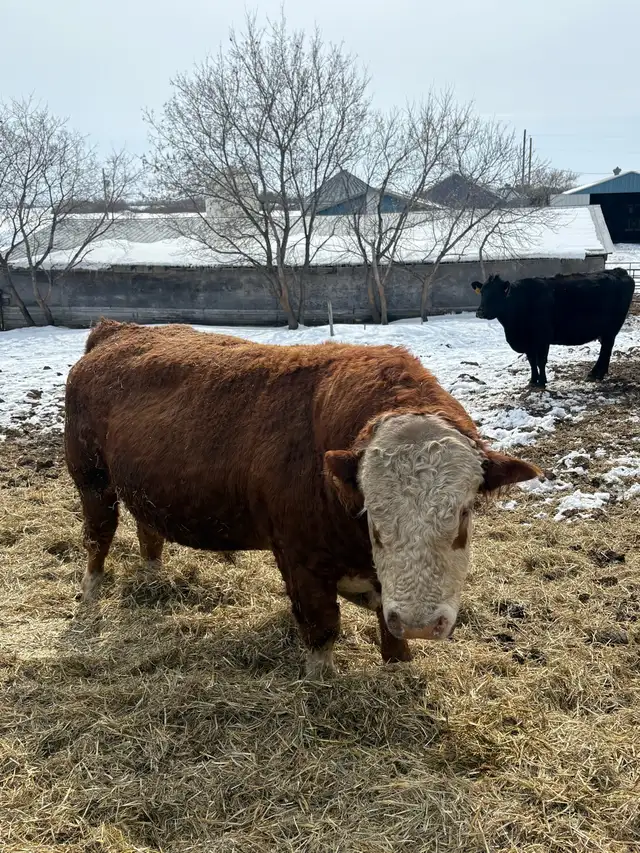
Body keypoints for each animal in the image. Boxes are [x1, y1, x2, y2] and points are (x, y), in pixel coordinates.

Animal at [65, 319, 539, 676]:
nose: (420, 624)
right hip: (92, 480)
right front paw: (320, 684)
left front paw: (399, 668)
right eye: (374, 516)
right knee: (98, 537)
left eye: (464, 512)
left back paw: (153, 577)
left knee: (149, 532)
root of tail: (116, 330)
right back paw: (89, 593)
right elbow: (321, 627)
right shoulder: (298, 560)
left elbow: (390, 638)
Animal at [471, 268, 635, 388]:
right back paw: (597, 374)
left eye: (495, 294)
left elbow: (540, 361)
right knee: (606, 349)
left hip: (611, 329)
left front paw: (542, 382)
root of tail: (619, 271)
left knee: (606, 349)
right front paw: (532, 381)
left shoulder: (543, 338)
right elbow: (531, 361)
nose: (480, 312)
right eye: (483, 292)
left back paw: (597, 374)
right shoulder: (529, 342)